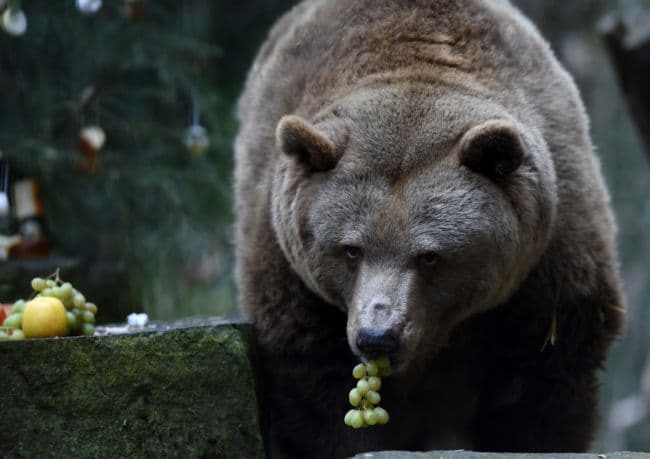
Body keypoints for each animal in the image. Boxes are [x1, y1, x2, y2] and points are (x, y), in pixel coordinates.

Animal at [233, 1, 624, 458]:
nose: (377, 336)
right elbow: (315, 381)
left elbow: (545, 374)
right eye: (350, 249)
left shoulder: (549, 257)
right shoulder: (287, 268)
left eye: (430, 255)